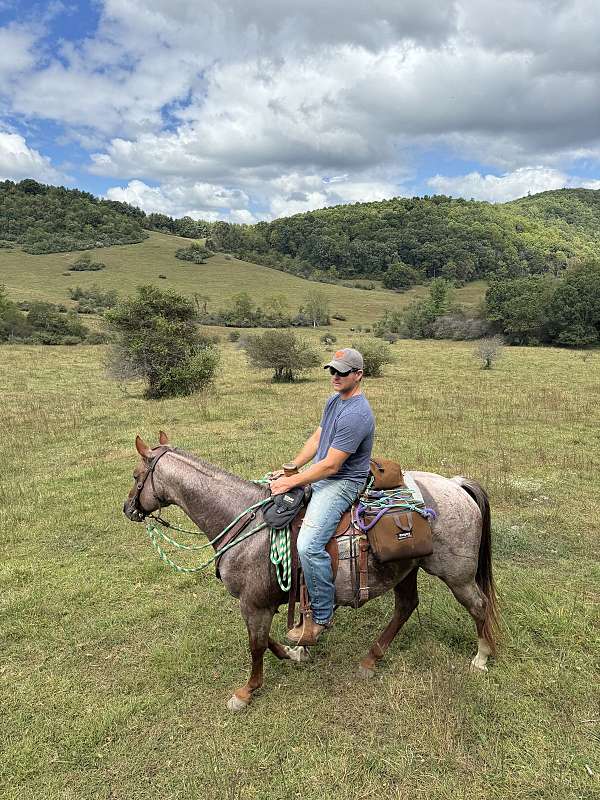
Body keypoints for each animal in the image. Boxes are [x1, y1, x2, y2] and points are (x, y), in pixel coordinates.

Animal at [124, 434, 500, 708]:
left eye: (136, 476)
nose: (128, 509)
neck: (247, 521)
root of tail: (456, 484)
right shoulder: (260, 603)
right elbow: (267, 640)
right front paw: (293, 653)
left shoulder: (254, 603)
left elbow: (255, 645)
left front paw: (246, 691)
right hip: (406, 569)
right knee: (405, 606)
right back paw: (371, 659)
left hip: (456, 575)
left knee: (478, 606)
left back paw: (481, 658)